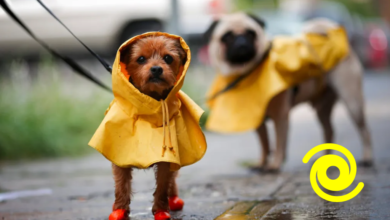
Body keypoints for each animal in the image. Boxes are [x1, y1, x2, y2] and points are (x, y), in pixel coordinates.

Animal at [204, 13, 372, 172]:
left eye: (251, 34)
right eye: (227, 37)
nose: (241, 42)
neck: (247, 73)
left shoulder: (281, 115)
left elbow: (279, 142)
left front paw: (274, 166)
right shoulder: (258, 120)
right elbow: (264, 143)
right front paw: (261, 163)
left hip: (352, 102)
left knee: (364, 131)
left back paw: (366, 158)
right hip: (322, 109)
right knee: (329, 130)